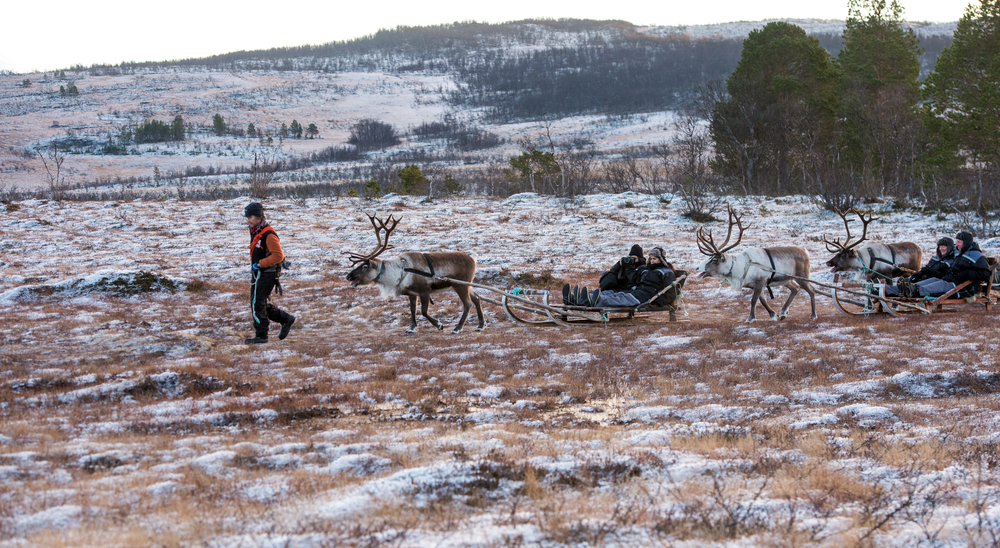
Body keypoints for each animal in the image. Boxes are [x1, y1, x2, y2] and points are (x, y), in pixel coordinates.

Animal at [344, 213, 485, 334]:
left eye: (365, 266)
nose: (348, 276)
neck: (399, 272)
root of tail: (473, 258)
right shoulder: (411, 294)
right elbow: (412, 310)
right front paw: (412, 328)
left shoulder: (425, 291)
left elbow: (423, 311)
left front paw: (439, 324)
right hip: (467, 285)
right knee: (477, 298)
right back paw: (480, 325)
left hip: (461, 285)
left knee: (468, 304)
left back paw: (457, 328)